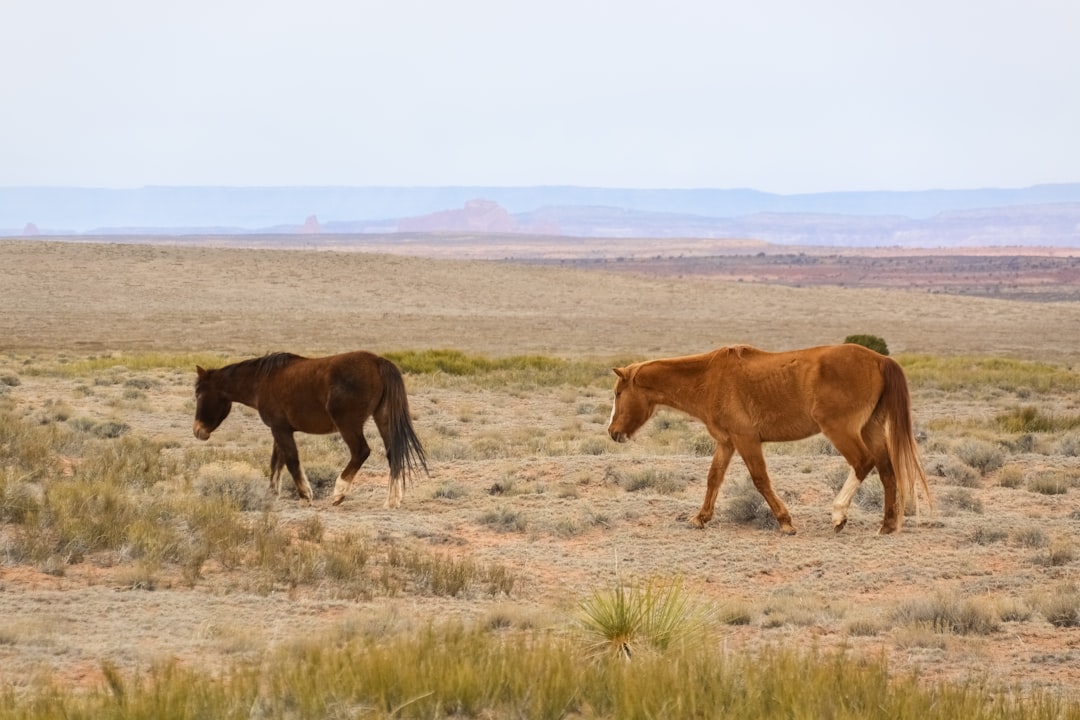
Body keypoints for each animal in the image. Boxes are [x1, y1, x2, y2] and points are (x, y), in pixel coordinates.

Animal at [192, 351, 427, 509]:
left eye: (200, 394)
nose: (197, 431)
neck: (262, 381)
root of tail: (378, 362)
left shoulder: (280, 429)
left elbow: (291, 461)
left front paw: (305, 495)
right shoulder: (280, 429)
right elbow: (277, 462)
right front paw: (272, 493)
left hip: (348, 424)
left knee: (361, 451)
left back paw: (339, 493)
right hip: (383, 418)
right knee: (393, 453)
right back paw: (392, 500)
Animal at [613, 343, 933, 535]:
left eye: (617, 393)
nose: (613, 432)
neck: (709, 379)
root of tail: (880, 359)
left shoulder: (746, 440)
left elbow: (760, 480)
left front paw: (785, 522)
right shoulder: (726, 442)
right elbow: (713, 478)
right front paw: (701, 517)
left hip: (841, 430)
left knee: (863, 463)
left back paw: (838, 515)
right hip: (871, 428)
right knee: (887, 470)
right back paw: (887, 525)